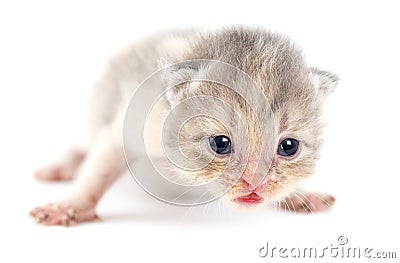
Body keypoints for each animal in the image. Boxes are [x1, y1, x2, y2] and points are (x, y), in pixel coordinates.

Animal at [30, 26, 338, 227]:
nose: (255, 183)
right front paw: (72, 206)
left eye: (289, 147)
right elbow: (101, 164)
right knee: (83, 147)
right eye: (220, 144)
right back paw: (62, 167)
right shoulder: (140, 119)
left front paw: (301, 194)